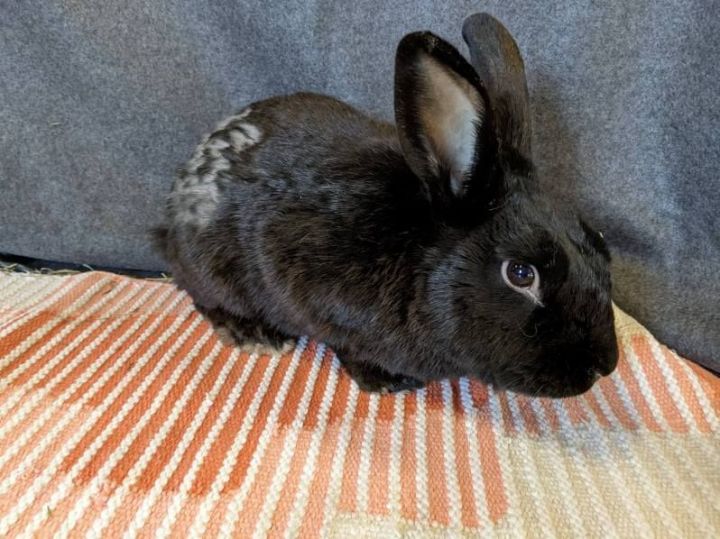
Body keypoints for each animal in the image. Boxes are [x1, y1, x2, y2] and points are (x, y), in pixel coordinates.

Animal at [153, 13, 618, 398]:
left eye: (600, 241)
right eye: (521, 274)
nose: (605, 366)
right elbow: (346, 344)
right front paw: (387, 381)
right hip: (209, 266)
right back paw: (253, 334)